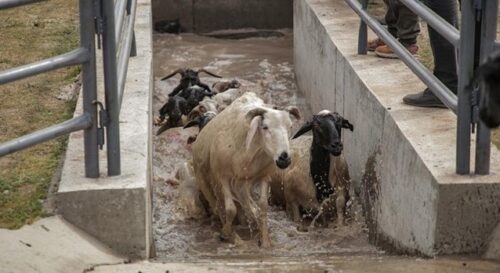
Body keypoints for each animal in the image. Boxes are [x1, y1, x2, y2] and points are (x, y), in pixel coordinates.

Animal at [191, 91, 300, 246]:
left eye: (290, 126)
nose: (284, 158)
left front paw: (265, 240)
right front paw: (227, 234)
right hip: (205, 181)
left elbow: (263, 206)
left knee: (245, 203)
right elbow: (230, 209)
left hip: (241, 183)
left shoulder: (263, 176)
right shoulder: (223, 176)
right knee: (218, 206)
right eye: (265, 127)